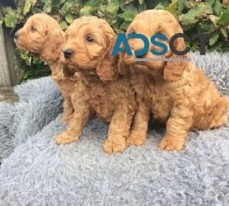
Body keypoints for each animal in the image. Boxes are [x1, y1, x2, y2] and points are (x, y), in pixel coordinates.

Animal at [56, 16, 137, 154]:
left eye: (90, 39)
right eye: (68, 37)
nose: (66, 52)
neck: (96, 80)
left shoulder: (124, 103)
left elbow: (118, 123)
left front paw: (114, 142)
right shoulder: (82, 100)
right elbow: (77, 119)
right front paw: (69, 135)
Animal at [121, 9, 228, 151]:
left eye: (160, 36)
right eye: (133, 34)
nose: (138, 52)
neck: (155, 77)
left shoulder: (182, 102)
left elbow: (175, 122)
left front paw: (171, 142)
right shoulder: (142, 101)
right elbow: (140, 120)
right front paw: (135, 138)